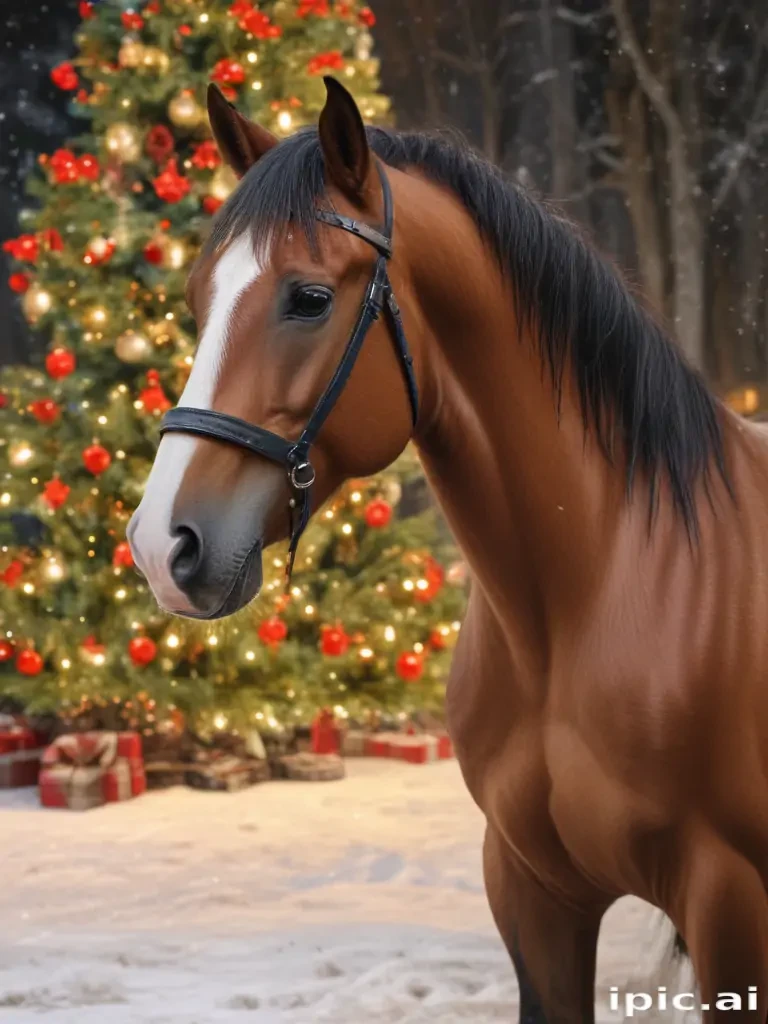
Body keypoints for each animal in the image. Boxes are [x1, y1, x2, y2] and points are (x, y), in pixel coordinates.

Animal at [128, 79, 768, 1022]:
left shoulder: (730, 902)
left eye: (308, 297)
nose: (159, 544)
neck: (601, 593)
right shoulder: (533, 892)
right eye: (198, 299)